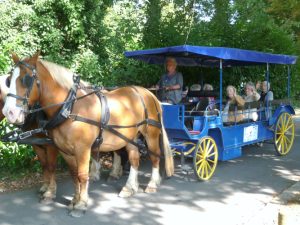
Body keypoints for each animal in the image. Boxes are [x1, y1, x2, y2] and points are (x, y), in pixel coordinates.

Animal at [0, 74, 58, 202]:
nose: (9, 113)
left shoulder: (50, 144)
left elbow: (51, 166)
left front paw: (50, 192)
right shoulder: (37, 144)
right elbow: (44, 164)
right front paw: (45, 187)